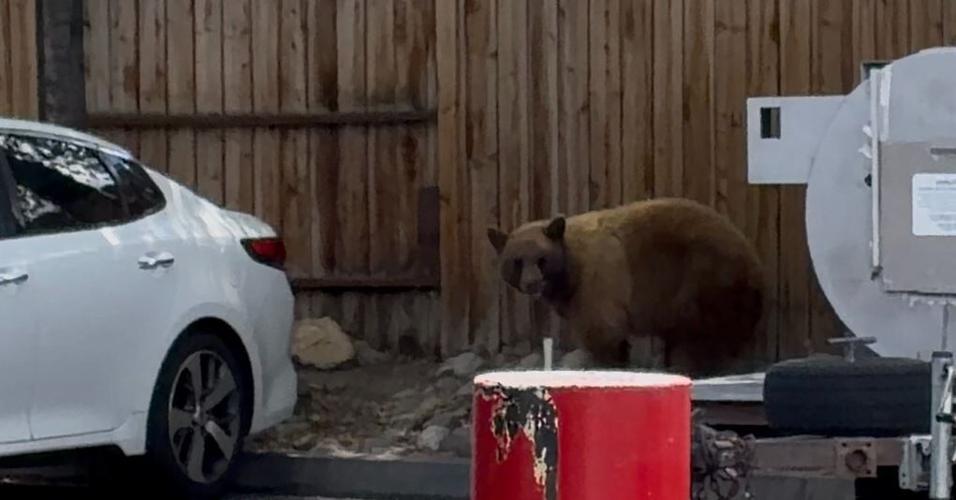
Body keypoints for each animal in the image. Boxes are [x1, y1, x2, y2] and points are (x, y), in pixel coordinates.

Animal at [487, 197, 768, 377]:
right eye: (517, 261)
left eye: (541, 260)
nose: (531, 283)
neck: (570, 271)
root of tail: (753, 263)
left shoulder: (598, 281)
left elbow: (603, 331)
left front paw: (608, 364)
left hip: (704, 281)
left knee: (702, 337)